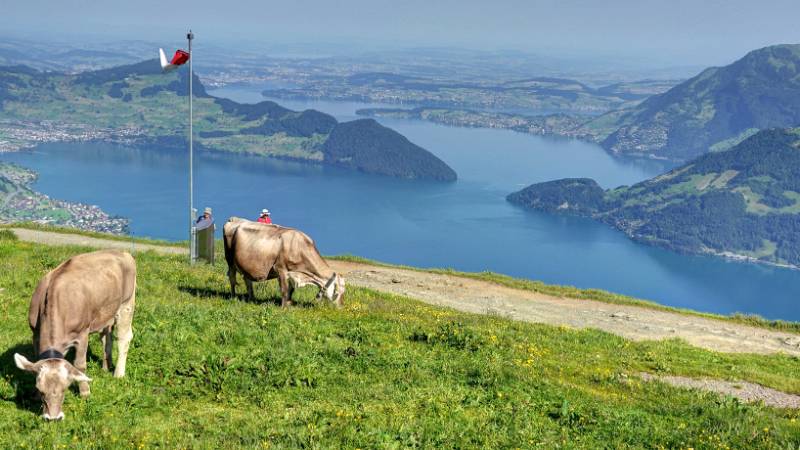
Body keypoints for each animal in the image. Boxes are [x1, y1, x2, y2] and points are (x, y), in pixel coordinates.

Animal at [14, 250, 137, 422]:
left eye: (65, 388)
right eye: (40, 388)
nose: (53, 418)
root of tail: (122, 252)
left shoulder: (82, 334)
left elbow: (80, 365)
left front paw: (85, 392)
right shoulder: (35, 334)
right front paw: (36, 397)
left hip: (127, 303)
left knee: (124, 338)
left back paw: (118, 374)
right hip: (106, 312)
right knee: (106, 337)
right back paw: (106, 367)